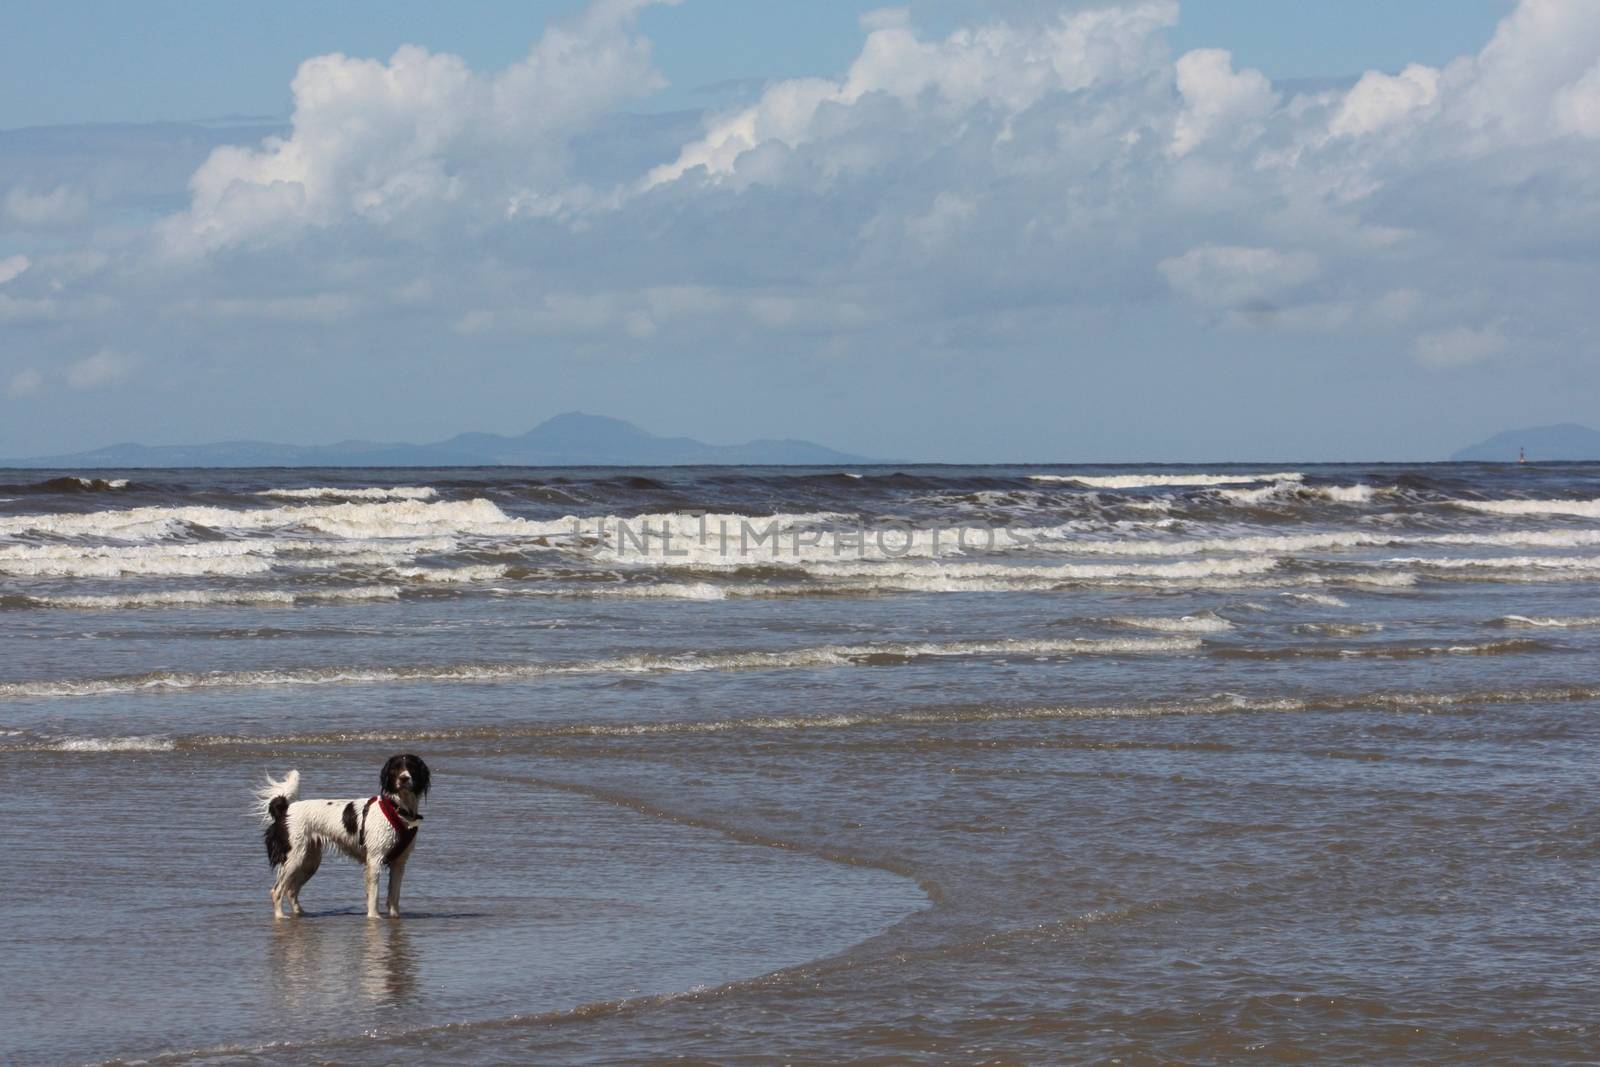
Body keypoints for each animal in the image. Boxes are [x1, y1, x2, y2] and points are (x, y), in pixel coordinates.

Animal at [256, 755, 432, 921]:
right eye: (396, 768)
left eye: (411, 767)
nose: (404, 778)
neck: (397, 809)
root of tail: (285, 809)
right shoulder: (374, 860)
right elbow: (373, 896)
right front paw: (374, 918)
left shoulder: (399, 863)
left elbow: (394, 896)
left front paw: (395, 919)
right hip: (295, 858)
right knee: (277, 890)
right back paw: (280, 916)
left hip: (309, 861)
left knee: (291, 890)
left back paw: (301, 914)